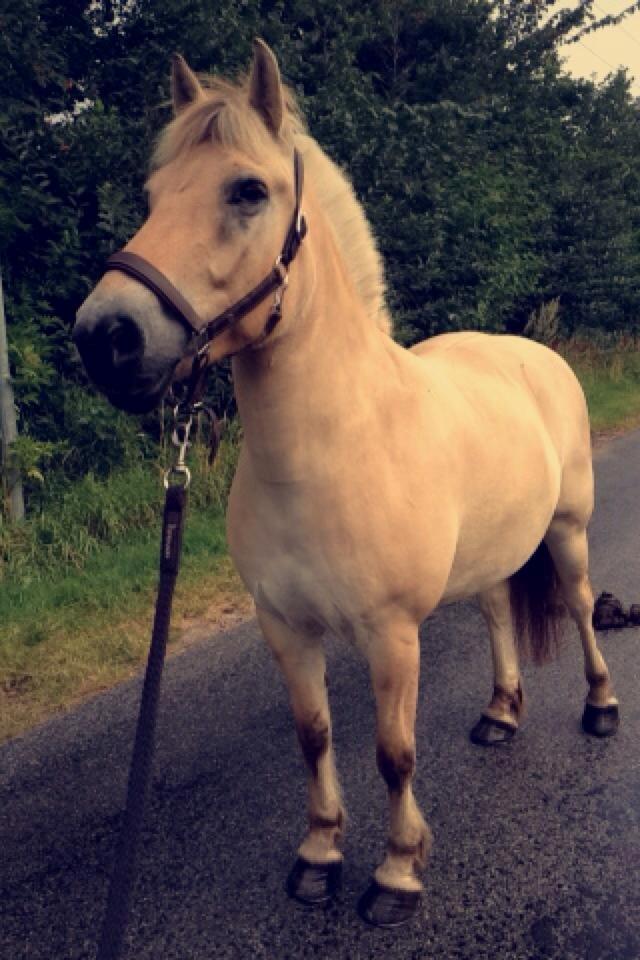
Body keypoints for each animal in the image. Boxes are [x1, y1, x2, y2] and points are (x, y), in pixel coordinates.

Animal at [72, 41, 616, 928]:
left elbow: (394, 753)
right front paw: (320, 855)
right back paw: (500, 713)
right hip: (493, 552)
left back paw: (601, 707)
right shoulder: (286, 628)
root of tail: (528, 351)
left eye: (247, 190)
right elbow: (314, 735)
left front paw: (397, 874)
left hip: (567, 532)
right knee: (499, 611)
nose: (105, 336)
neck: (330, 451)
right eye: (153, 197)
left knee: (574, 605)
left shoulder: (392, 635)